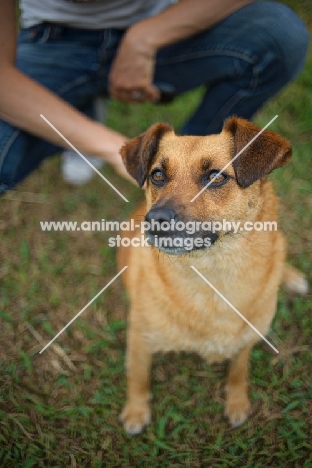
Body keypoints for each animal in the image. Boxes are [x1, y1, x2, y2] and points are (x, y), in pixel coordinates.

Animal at [116, 118, 308, 436]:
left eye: (216, 177)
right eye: (158, 175)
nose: (155, 220)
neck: (211, 276)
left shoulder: (248, 338)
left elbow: (238, 371)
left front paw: (237, 403)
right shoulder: (139, 339)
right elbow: (138, 377)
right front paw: (136, 411)